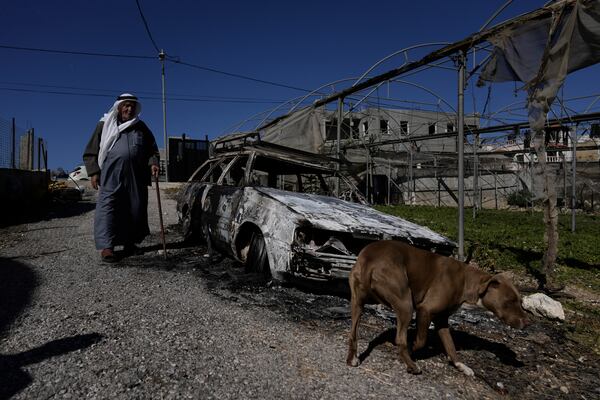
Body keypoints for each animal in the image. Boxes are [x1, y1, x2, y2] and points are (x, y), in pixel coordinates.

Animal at [344, 241, 528, 376]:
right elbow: (421, 340)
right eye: (510, 301)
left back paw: (352, 360)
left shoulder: (442, 320)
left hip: (357, 303)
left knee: (353, 333)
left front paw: (461, 366)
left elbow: (451, 346)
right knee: (400, 339)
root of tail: (370, 260)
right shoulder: (425, 310)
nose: (526, 323)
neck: (467, 281)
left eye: (520, 301)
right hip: (405, 305)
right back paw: (412, 366)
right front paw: (412, 350)